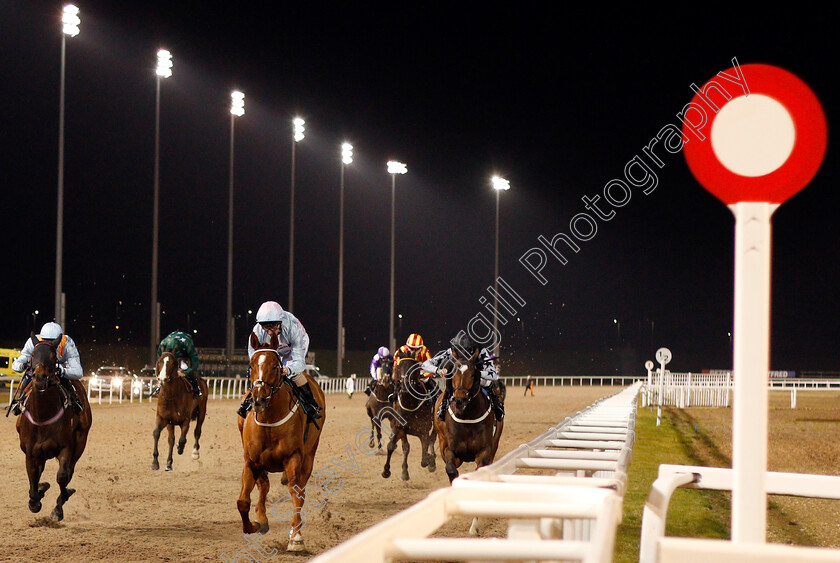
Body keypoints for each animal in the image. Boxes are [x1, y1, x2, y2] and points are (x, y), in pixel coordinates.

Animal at [16, 338, 92, 524]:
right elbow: (33, 480)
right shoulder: (30, 453)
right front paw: (36, 498)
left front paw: (58, 508)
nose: (39, 377)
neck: (42, 417)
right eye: (32, 355)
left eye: (52, 356)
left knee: (69, 471)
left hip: (80, 443)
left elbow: (62, 477)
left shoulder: (66, 448)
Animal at [240, 332, 328, 552]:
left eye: (274, 366)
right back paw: (261, 518)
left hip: (309, 455)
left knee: (300, 491)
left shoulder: (293, 457)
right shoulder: (251, 461)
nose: (258, 399)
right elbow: (243, 501)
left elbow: (296, 494)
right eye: (251, 364)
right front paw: (255, 524)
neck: (270, 420)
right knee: (263, 485)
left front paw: (296, 537)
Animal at [434, 348, 506, 484]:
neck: (466, 417)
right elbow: (451, 470)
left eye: (472, 374)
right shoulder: (448, 449)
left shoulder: (485, 450)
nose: (460, 400)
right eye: (453, 373)